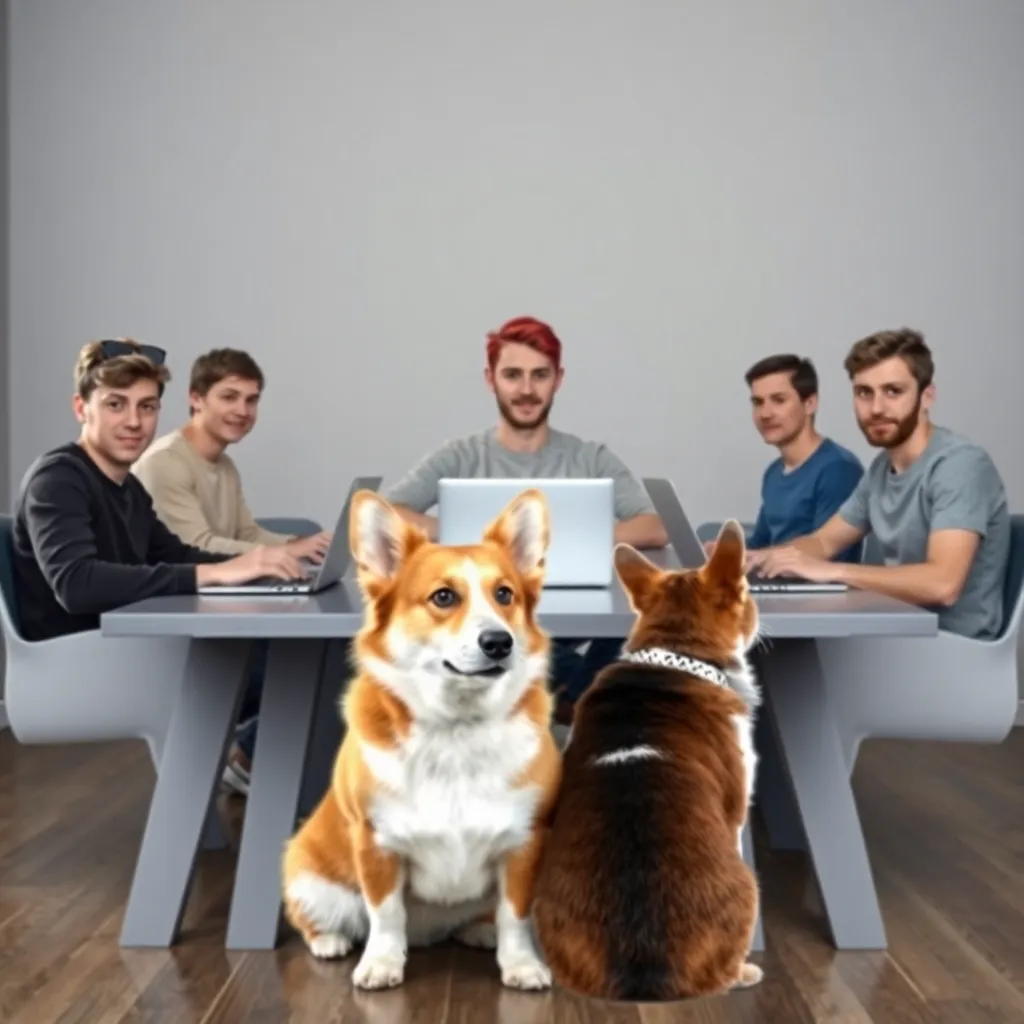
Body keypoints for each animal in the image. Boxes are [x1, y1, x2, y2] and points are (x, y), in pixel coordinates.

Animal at [282, 487, 561, 991]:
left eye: (504, 594)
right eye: (443, 597)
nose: (499, 642)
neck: (456, 727)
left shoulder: (524, 843)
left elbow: (515, 916)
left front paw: (522, 964)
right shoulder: (377, 844)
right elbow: (386, 916)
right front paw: (382, 964)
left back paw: (479, 931)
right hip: (308, 879)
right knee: (317, 918)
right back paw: (330, 941)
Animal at [532, 524, 765, 1003]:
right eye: (748, 593)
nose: (761, 611)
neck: (675, 651)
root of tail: (641, 967)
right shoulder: (736, 810)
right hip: (750, 885)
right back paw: (746, 972)